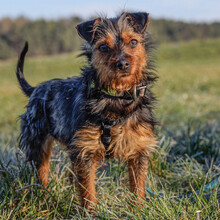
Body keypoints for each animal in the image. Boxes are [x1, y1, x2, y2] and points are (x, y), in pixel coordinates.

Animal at [16, 11, 158, 210]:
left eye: (133, 42)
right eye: (103, 47)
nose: (122, 63)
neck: (116, 97)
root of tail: (35, 89)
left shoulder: (139, 149)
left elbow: (137, 187)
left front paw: (137, 210)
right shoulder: (85, 150)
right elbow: (88, 189)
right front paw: (91, 212)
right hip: (38, 142)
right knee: (41, 172)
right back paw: (43, 196)